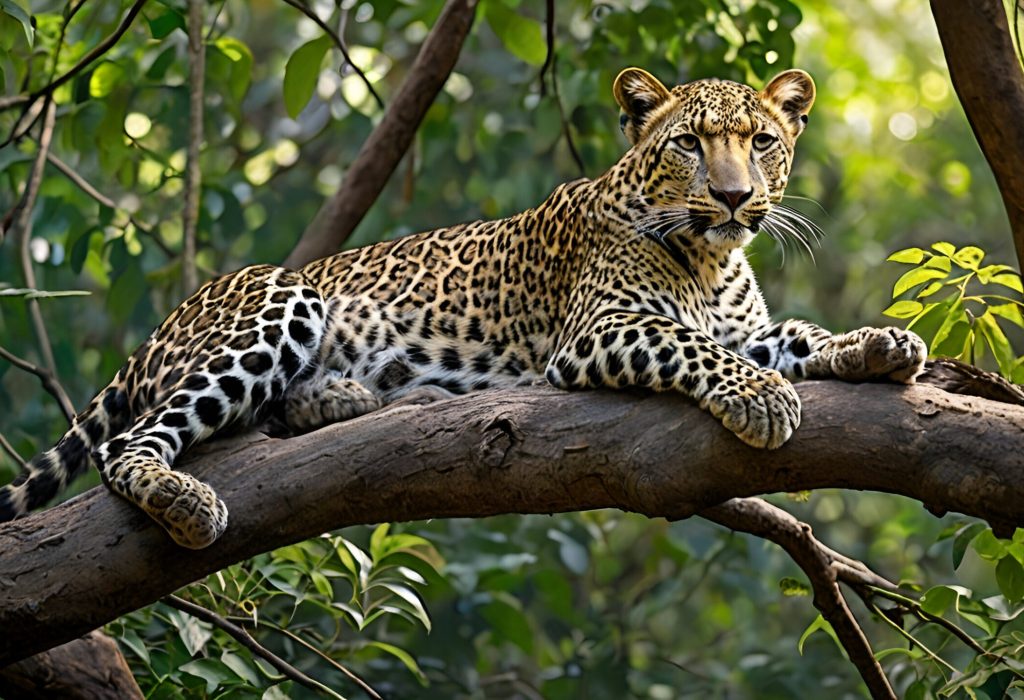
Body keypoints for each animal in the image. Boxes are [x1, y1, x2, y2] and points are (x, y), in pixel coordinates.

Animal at [0, 67, 926, 549]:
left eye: (762, 142)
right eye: (690, 145)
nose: (735, 198)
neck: (711, 256)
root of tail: (170, 320)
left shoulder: (745, 323)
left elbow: (792, 333)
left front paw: (879, 347)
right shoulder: (600, 332)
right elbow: (698, 348)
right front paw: (764, 397)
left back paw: (340, 397)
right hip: (280, 298)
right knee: (129, 443)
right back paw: (186, 499)